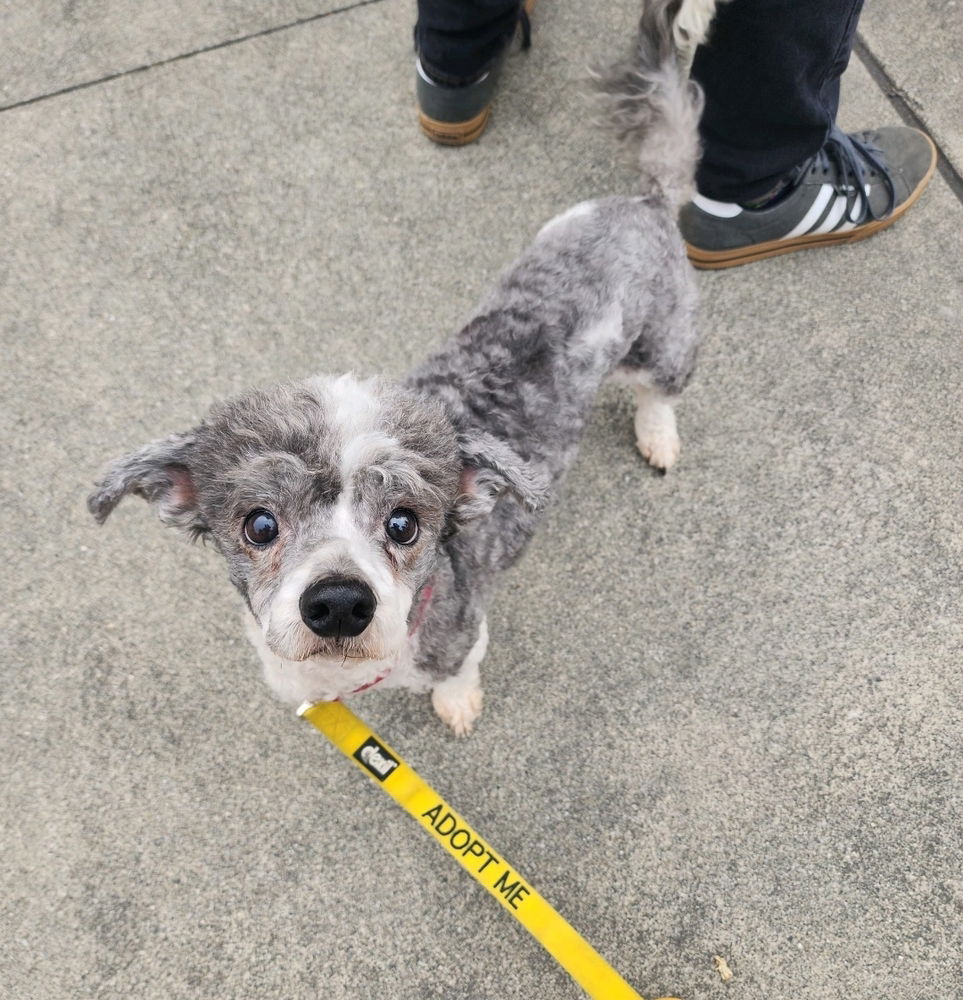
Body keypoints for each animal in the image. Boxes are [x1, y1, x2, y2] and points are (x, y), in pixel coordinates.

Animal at [90, 0, 708, 736]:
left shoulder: (461, 632)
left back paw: (658, 435)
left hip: (664, 343)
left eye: (404, 523)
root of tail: (644, 203)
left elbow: (458, 672)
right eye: (259, 524)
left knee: (659, 393)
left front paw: (456, 704)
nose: (336, 602)